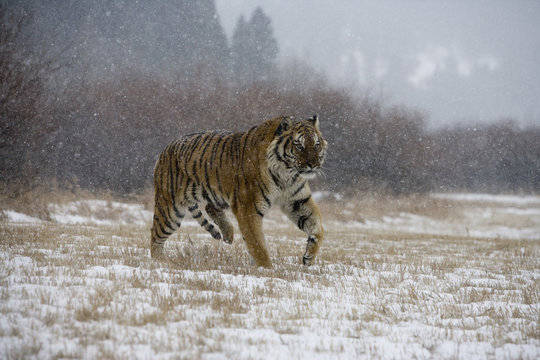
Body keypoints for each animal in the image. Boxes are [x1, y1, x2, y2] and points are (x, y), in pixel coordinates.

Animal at [151, 115, 330, 268]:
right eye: (299, 145)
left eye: (316, 144)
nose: (313, 164)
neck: (286, 173)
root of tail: (164, 150)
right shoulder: (248, 208)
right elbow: (257, 245)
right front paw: (267, 270)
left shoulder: (297, 200)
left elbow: (317, 226)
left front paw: (309, 257)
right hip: (170, 209)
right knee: (155, 236)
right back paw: (160, 262)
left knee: (210, 207)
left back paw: (228, 234)